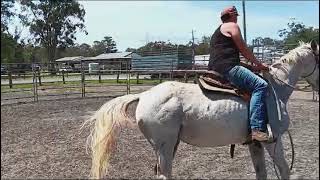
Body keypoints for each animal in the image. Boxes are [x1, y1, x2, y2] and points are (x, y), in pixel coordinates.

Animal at [84, 40, 318, 179]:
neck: (273, 89)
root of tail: (144, 95)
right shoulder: (273, 140)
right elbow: (284, 170)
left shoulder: (255, 143)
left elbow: (261, 173)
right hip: (165, 146)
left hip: (167, 145)